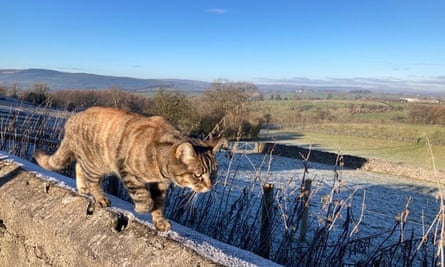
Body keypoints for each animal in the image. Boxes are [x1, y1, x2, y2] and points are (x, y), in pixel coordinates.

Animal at [33, 107, 227, 232]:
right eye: (197, 175)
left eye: (214, 174)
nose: (210, 186)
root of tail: (71, 119)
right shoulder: (128, 171)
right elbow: (144, 197)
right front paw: (143, 207)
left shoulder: (161, 184)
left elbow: (159, 204)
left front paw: (160, 222)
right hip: (97, 163)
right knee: (92, 180)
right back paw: (99, 198)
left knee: (79, 166)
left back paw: (82, 187)